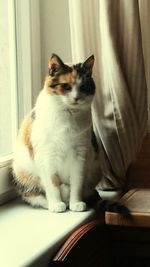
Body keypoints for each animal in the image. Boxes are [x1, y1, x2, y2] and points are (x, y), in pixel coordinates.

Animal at [12, 55, 101, 214]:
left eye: (84, 87)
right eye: (66, 86)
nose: (76, 98)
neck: (68, 116)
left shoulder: (80, 154)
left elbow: (77, 182)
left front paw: (76, 203)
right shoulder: (46, 155)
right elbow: (52, 183)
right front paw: (56, 204)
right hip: (21, 170)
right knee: (33, 195)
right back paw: (54, 202)